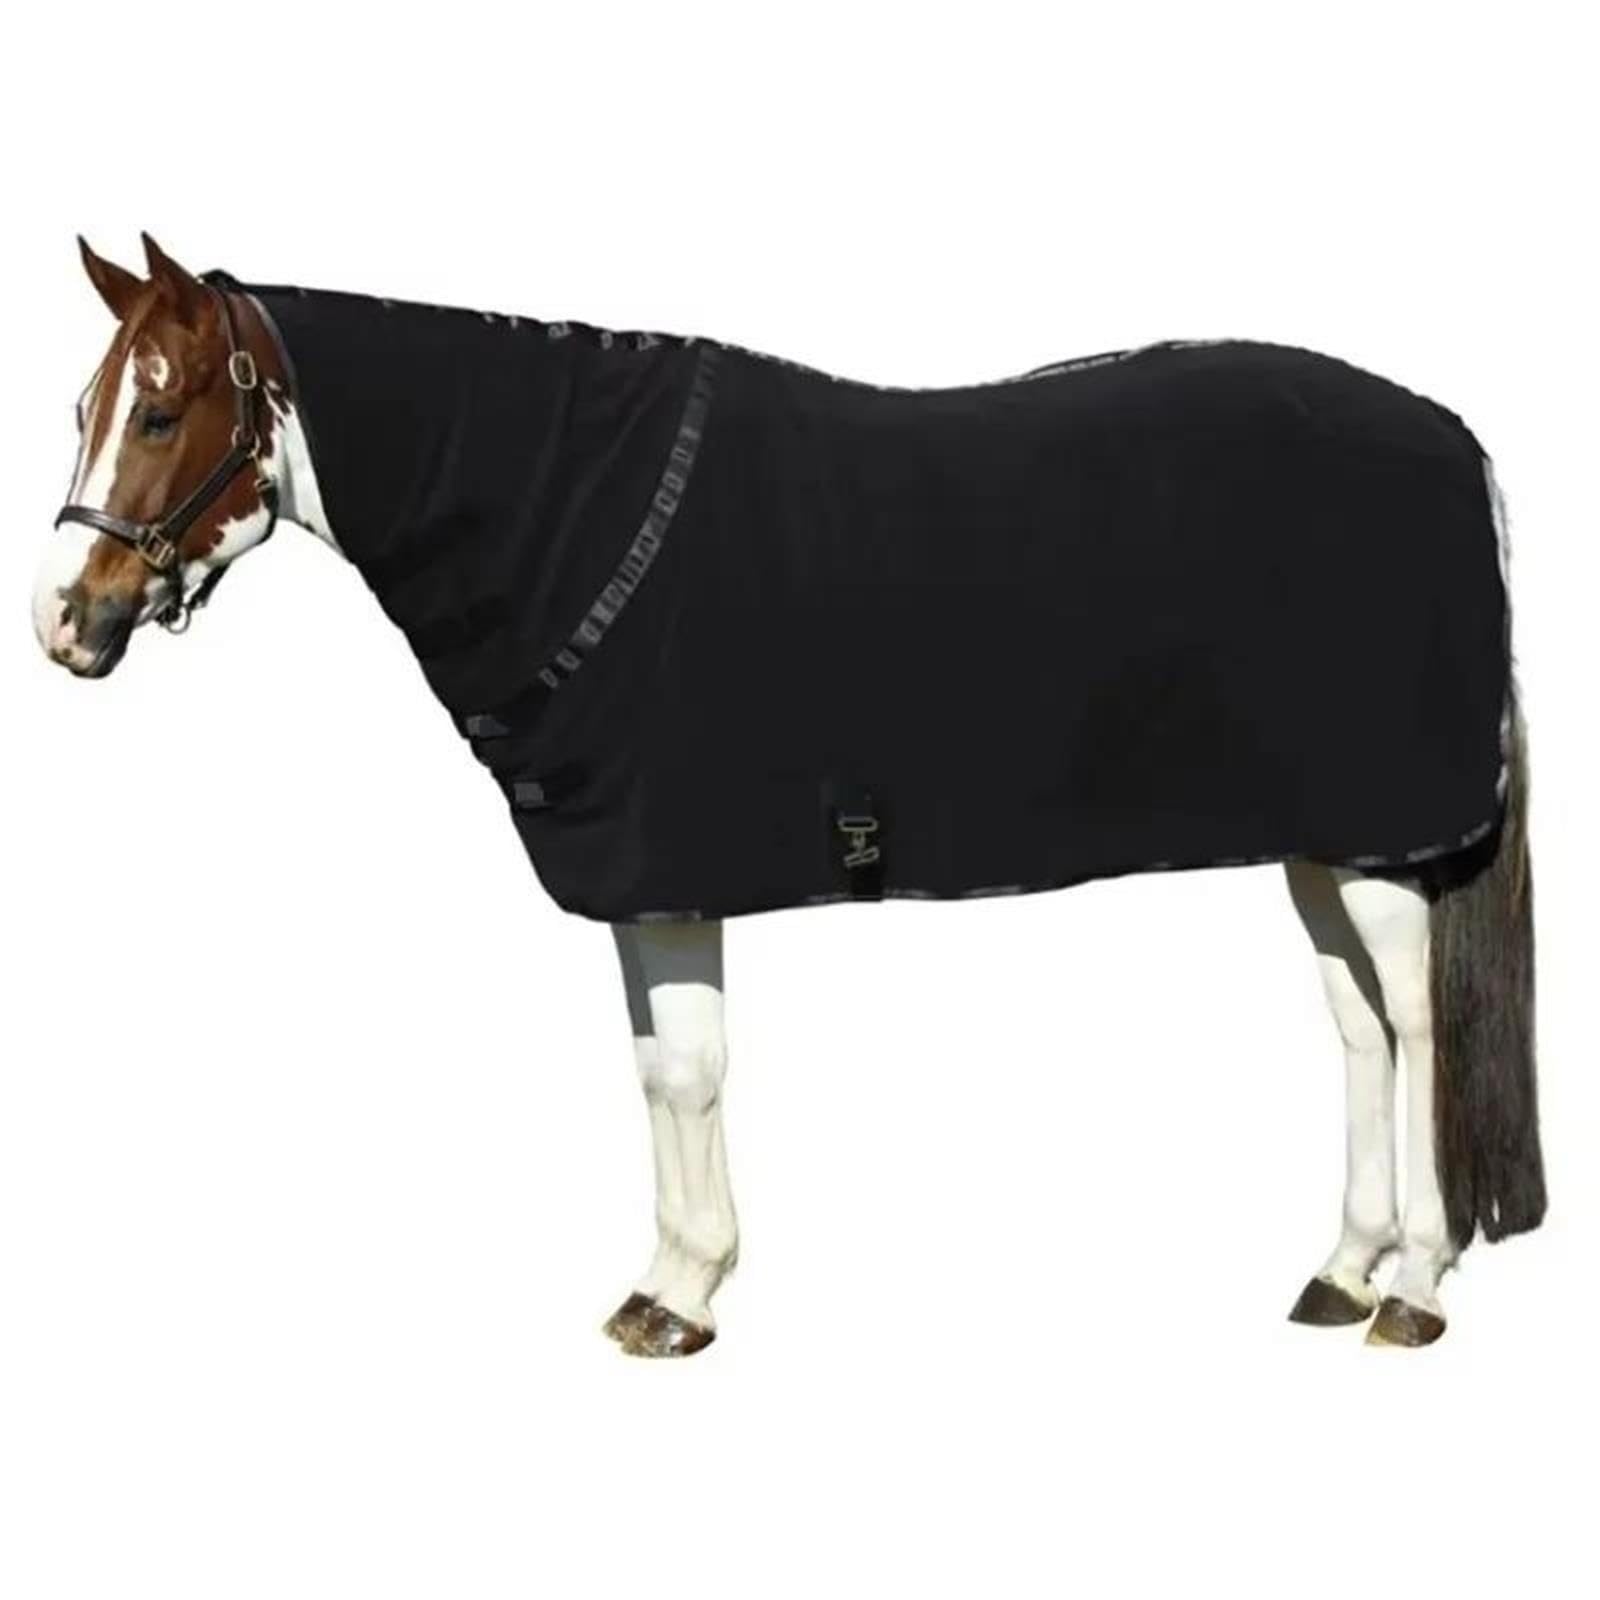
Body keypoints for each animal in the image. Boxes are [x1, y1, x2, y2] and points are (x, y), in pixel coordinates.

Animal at [34, 234, 1545, 1356]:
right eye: (85, 411)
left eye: (160, 410)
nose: (66, 622)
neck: (566, 510)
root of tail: (1455, 442)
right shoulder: (646, 874)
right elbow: (658, 1068)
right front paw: (670, 1282)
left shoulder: (671, 870)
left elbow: (692, 1069)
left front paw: (681, 1296)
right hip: (1324, 838)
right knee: (1359, 1027)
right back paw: (1340, 1271)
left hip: (1382, 841)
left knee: (1417, 1023)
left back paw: (1412, 1290)